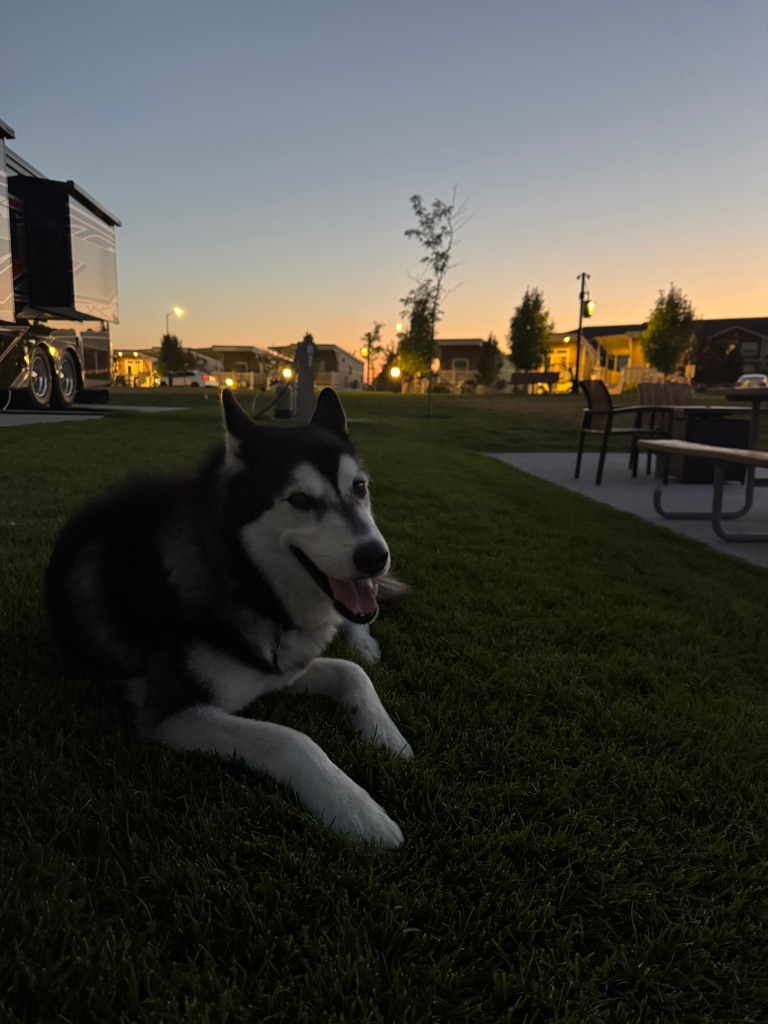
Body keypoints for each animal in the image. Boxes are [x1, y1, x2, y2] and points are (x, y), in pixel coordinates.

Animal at [45, 388, 412, 847]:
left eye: (359, 487)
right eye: (299, 500)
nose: (375, 557)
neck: (243, 581)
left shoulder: (280, 668)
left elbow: (351, 671)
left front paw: (387, 736)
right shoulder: (174, 712)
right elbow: (290, 740)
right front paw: (356, 810)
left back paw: (366, 644)